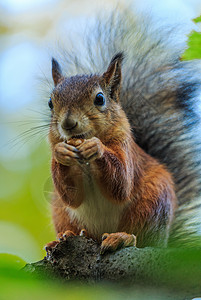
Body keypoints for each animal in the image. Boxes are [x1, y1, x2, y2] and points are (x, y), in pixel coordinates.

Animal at [45, 52, 176, 254]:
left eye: (100, 98)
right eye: (51, 103)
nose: (68, 124)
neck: (84, 161)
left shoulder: (125, 147)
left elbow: (121, 184)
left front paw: (96, 147)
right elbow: (71, 197)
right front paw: (61, 152)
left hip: (153, 204)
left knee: (142, 238)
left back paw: (123, 238)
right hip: (60, 211)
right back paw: (65, 236)